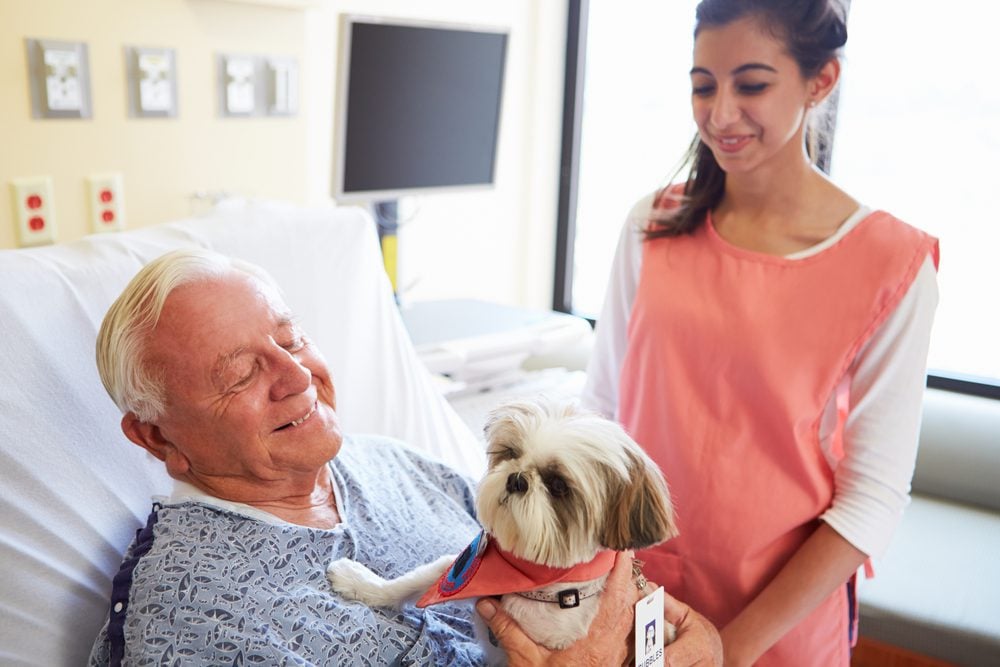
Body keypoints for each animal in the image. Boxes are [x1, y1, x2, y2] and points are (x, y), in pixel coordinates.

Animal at [328, 400, 680, 660]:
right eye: (512, 453)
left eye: (558, 485)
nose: (517, 478)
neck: (531, 579)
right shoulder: (461, 570)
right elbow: (410, 582)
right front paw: (360, 583)